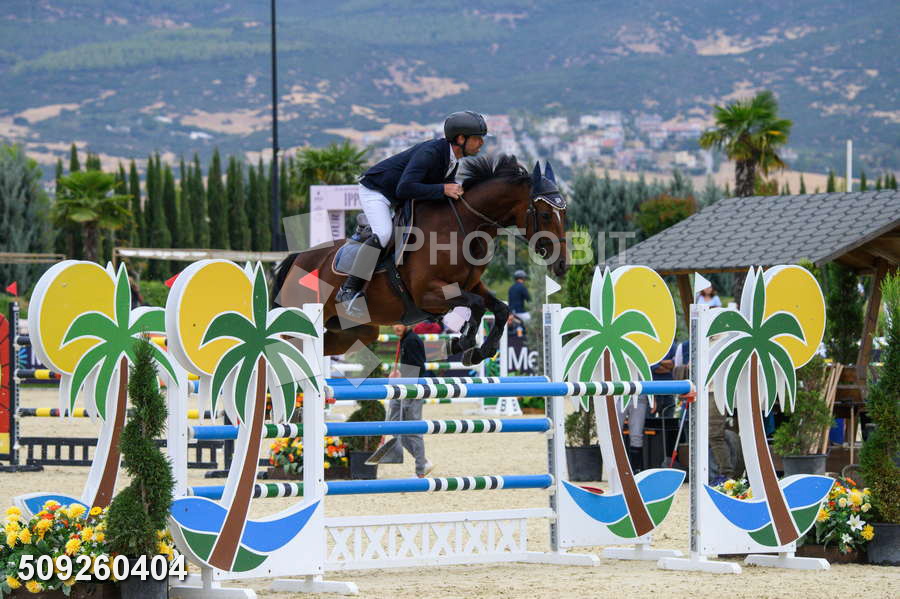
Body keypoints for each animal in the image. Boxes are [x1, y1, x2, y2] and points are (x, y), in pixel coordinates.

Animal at [271, 154, 568, 365]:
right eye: (545, 215)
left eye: (563, 213)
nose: (562, 264)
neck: (462, 227)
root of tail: (297, 259)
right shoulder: (428, 294)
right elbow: (476, 305)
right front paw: (463, 343)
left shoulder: (471, 285)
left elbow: (500, 308)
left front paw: (480, 350)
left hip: (353, 332)